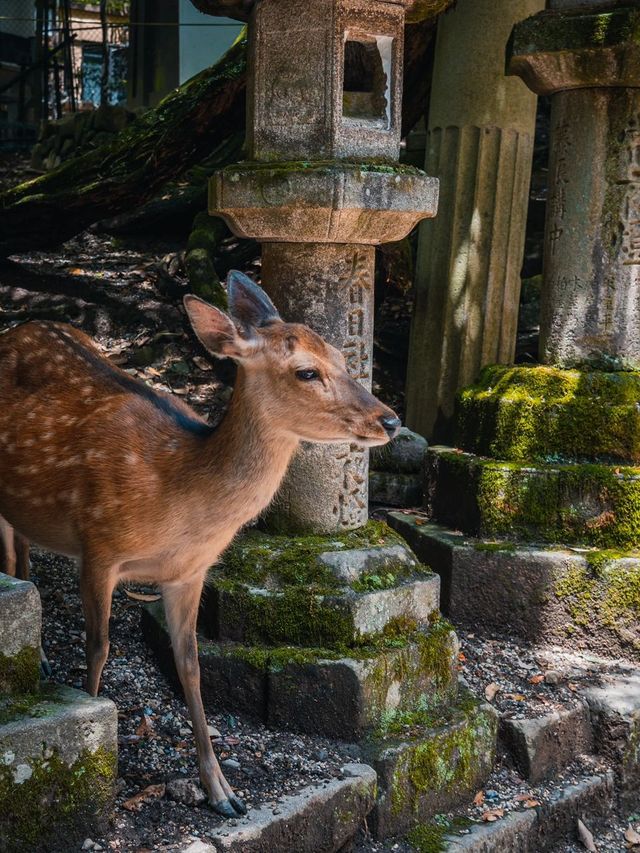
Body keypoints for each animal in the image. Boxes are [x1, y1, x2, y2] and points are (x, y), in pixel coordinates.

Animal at [0, 272, 400, 820]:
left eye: (343, 356)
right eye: (306, 371)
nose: (390, 420)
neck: (177, 495)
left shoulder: (189, 573)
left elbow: (191, 666)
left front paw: (223, 792)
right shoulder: (97, 545)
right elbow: (98, 648)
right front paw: (94, 733)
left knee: (22, 554)